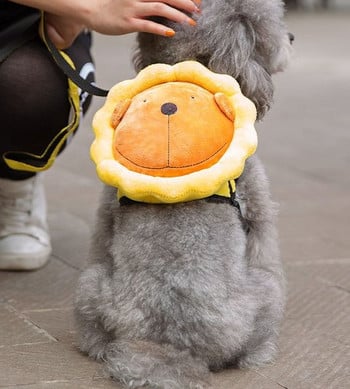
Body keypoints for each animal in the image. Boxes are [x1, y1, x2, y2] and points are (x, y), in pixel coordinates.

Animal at [74, 1, 292, 386]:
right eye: (272, 30)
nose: (294, 36)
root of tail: (168, 345)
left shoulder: (105, 213)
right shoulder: (259, 211)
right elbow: (264, 244)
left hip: (90, 284)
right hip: (264, 294)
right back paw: (262, 351)